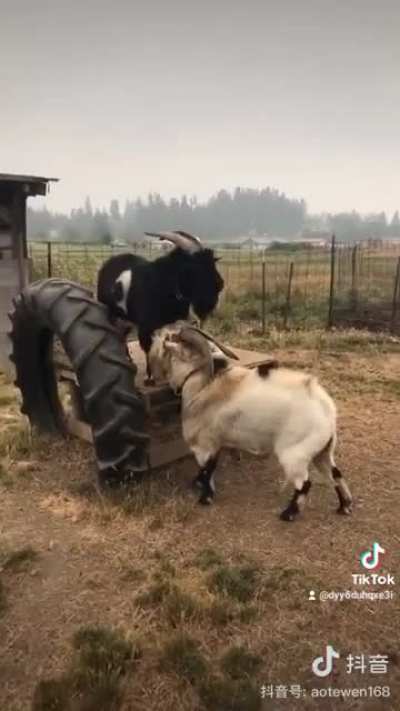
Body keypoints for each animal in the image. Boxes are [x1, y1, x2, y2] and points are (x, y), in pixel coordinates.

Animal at [96, 231, 224, 383]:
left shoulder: (175, 323)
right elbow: (148, 348)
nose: (220, 284)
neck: (165, 284)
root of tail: (108, 263)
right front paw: (150, 376)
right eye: (196, 266)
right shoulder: (145, 327)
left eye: (212, 262)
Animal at [149, 324, 353, 522]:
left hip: (295, 453)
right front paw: (198, 484)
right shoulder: (216, 443)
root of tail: (325, 410)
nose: (158, 335)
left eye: (174, 339)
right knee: (335, 474)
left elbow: (208, 470)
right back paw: (344, 506)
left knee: (305, 483)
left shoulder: (204, 444)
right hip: (323, 451)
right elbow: (210, 467)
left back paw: (288, 514)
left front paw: (205, 498)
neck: (202, 386)